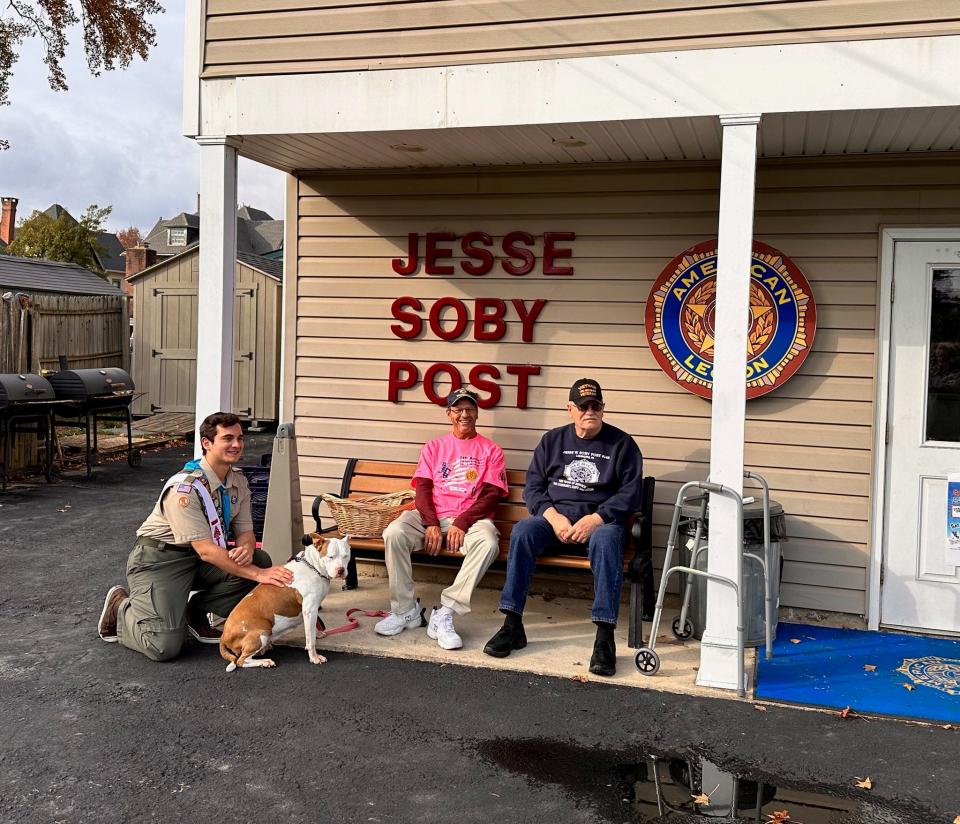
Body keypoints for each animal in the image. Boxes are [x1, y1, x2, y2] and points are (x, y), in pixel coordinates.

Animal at [219, 536, 350, 668]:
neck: (313, 567)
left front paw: (318, 633)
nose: (341, 570)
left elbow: (313, 627)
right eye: (330, 556)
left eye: (346, 556)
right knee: (242, 660)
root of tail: (224, 635)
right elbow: (310, 639)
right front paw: (314, 657)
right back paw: (265, 661)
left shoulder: (313, 608)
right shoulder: (310, 609)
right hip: (262, 632)